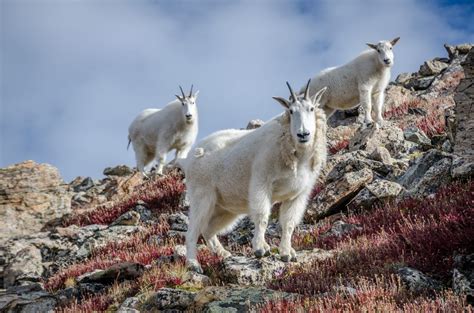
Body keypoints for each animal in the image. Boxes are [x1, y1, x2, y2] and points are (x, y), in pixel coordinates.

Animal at [180, 81, 328, 272]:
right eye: (291, 111)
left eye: (311, 108)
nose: (303, 134)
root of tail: (188, 159)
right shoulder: (261, 181)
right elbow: (262, 217)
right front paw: (260, 249)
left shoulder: (298, 194)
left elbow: (288, 224)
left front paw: (287, 254)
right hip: (202, 196)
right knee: (192, 231)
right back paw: (193, 264)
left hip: (225, 207)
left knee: (208, 229)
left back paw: (224, 254)